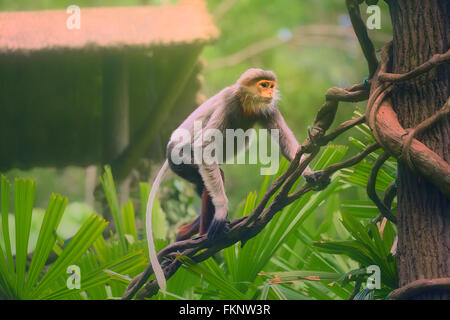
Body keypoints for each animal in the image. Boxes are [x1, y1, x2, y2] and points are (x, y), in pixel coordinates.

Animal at [146, 69, 328, 292]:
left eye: (271, 86)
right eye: (264, 85)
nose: (270, 92)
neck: (246, 104)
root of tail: (169, 149)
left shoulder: (267, 109)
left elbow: (286, 143)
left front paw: (310, 174)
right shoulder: (229, 102)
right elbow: (204, 150)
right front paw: (221, 212)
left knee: (204, 186)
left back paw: (183, 236)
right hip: (181, 159)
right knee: (212, 171)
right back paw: (206, 234)